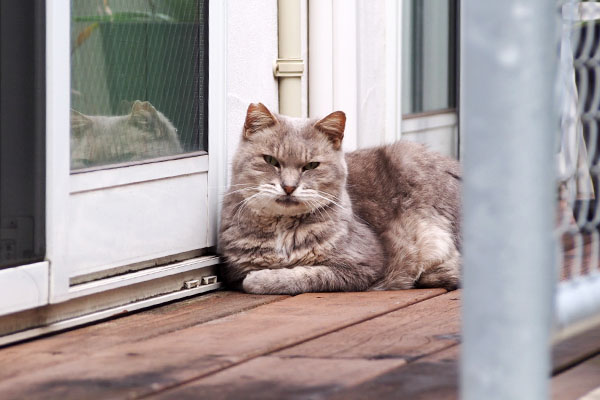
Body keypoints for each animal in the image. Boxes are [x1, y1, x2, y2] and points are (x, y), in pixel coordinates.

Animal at [218, 102, 462, 294]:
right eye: (270, 160)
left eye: (311, 165)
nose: (289, 187)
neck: (284, 231)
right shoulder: (238, 268)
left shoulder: (362, 264)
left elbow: (305, 276)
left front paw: (263, 279)